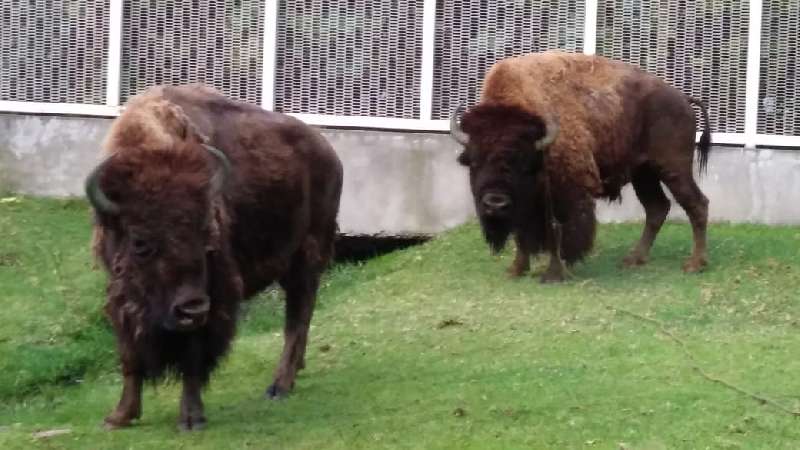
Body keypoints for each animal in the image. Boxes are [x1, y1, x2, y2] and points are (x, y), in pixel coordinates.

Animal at [86, 84, 342, 428]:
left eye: (207, 233)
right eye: (140, 242)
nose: (191, 308)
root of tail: (329, 154)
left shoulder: (214, 295)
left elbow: (194, 355)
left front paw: (191, 418)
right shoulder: (122, 296)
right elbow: (130, 354)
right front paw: (118, 416)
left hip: (307, 258)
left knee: (297, 319)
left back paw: (279, 386)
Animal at [450, 51, 712, 282]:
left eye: (523, 164)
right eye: (474, 161)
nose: (495, 203)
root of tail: (683, 99)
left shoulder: (565, 190)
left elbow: (558, 229)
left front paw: (555, 273)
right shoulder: (525, 201)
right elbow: (521, 232)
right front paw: (516, 270)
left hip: (673, 168)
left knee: (696, 204)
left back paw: (694, 264)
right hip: (644, 174)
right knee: (657, 208)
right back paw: (634, 259)